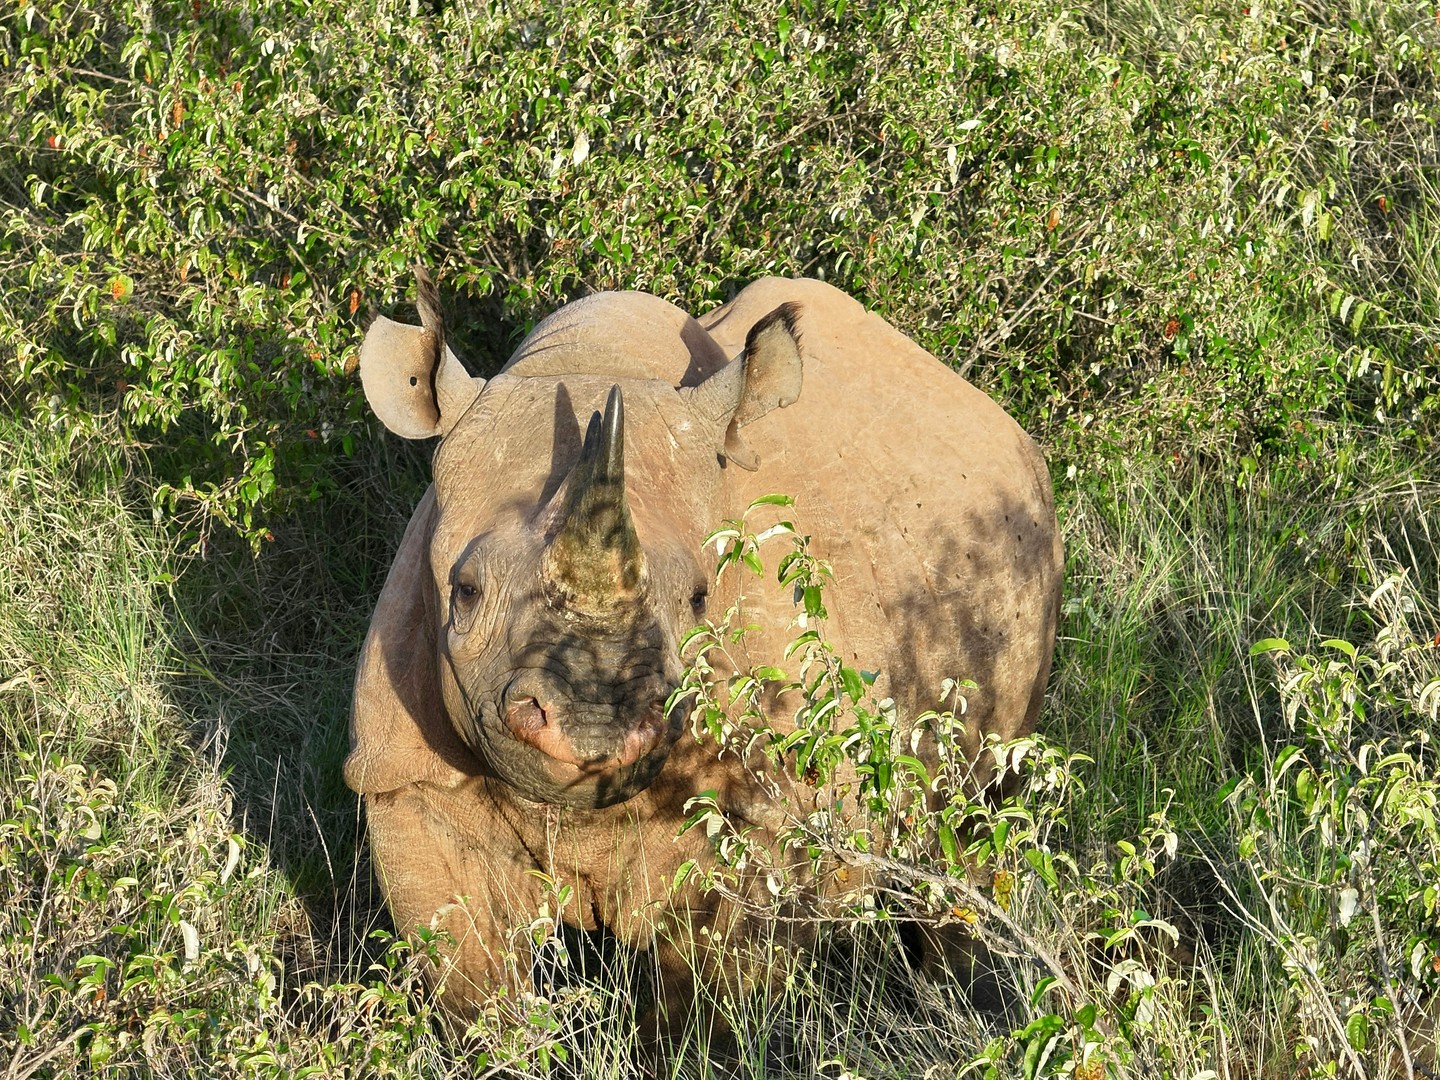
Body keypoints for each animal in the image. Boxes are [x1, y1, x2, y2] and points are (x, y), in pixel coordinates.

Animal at [345, 273, 1062, 1031]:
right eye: (465, 591)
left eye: (698, 599)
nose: (591, 724)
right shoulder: (404, 781)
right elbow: (473, 986)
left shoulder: (772, 815)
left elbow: (705, 1007)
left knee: (975, 825)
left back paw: (951, 1003)